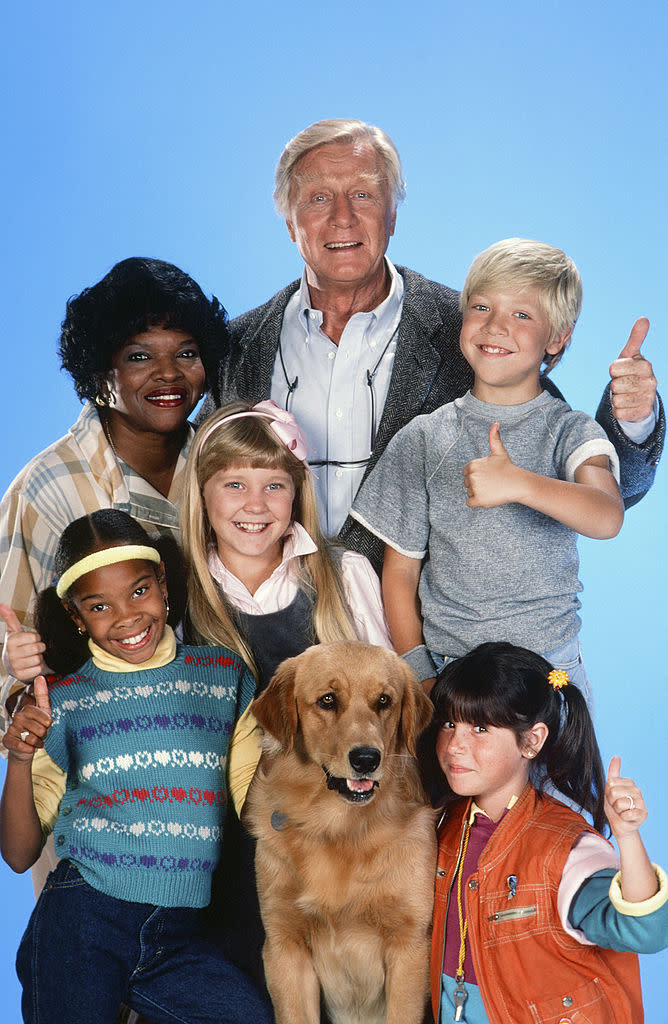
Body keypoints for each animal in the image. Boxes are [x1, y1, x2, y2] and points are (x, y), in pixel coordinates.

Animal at [242, 638, 436, 1024]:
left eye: (384, 700)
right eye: (328, 700)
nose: (366, 759)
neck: (338, 828)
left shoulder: (408, 944)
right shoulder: (284, 944)